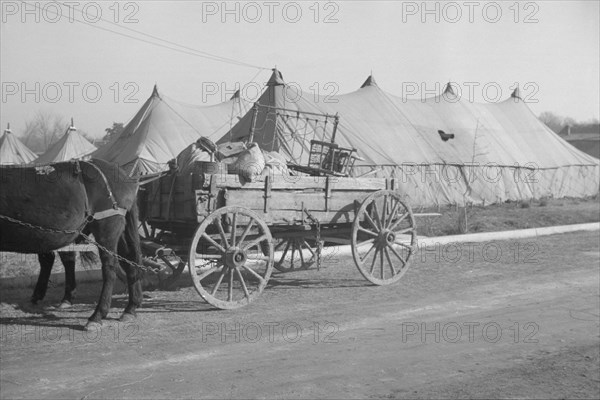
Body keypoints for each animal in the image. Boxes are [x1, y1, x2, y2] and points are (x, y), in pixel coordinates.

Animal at [0, 158, 142, 330]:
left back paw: (97, 315)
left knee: (110, 269)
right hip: (119, 231)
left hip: (107, 228)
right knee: (129, 262)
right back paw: (130, 308)